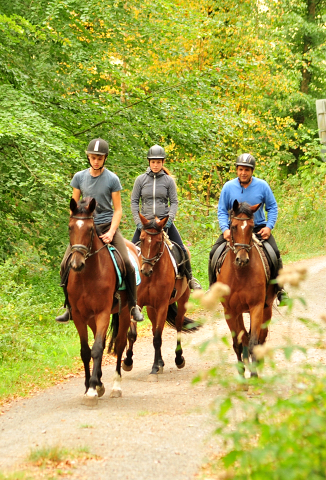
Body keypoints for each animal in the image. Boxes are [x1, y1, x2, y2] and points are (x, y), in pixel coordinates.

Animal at [67, 197, 139, 404]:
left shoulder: (103, 313)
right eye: (70, 227)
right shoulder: (79, 315)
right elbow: (86, 351)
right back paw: (99, 381)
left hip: (124, 312)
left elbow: (98, 348)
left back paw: (115, 386)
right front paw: (90, 385)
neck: (87, 275)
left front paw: (92, 390)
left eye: (91, 229)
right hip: (92, 318)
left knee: (121, 344)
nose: (77, 264)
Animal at [118, 216, 199, 380]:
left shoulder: (162, 305)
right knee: (155, 327)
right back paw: (161, 361)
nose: (145, 270)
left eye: (158, 242)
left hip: (182, 300)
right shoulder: (138, 304)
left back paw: (178, 359)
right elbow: (133, 334)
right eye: (142, 239)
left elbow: (157, 338)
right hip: (151, 308)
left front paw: (155, 367)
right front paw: (128, 362)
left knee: (178, 327)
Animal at [216, 199, 276, 376]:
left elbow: (254, 342)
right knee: (244, 339)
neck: (240, 274)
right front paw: (242, 375)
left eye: (251, 227)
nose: (241, 259)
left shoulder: (256, 307)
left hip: (266, 308)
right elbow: (238, 343)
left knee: (261, 337)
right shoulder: (230, 310)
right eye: (234, 226)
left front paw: (254, 375)